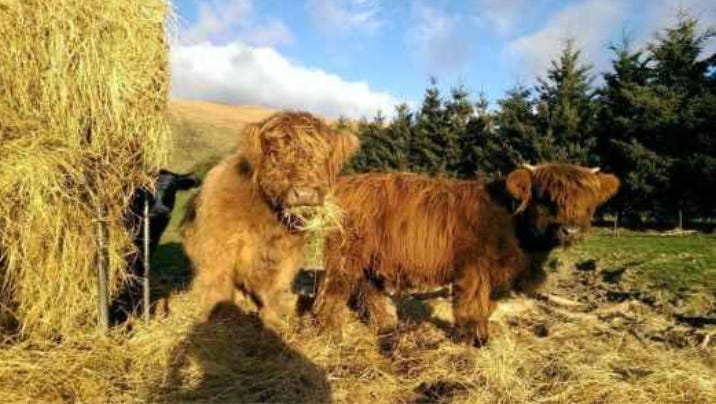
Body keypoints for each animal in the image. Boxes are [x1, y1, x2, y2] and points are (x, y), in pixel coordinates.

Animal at [181, 111, 359, 331]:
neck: (267, 220)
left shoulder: (288, 254)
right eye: (274, 154)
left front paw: (272, 321)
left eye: (323, 156)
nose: (304, 194)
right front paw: (217, 317)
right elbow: (217, 283)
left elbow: (275, 287)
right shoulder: (217, 246)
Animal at [312, 163, 620, 346]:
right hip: (345, 256)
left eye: (585, 201)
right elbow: (473, 305)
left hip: (373, 260)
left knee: (370, 291)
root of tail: (348, 182)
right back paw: (330, 333)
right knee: (333, 291)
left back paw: (386, 326)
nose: (570, 230)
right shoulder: (475, 270)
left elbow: (487, 306)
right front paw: (477, 340)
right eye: (545, 199)